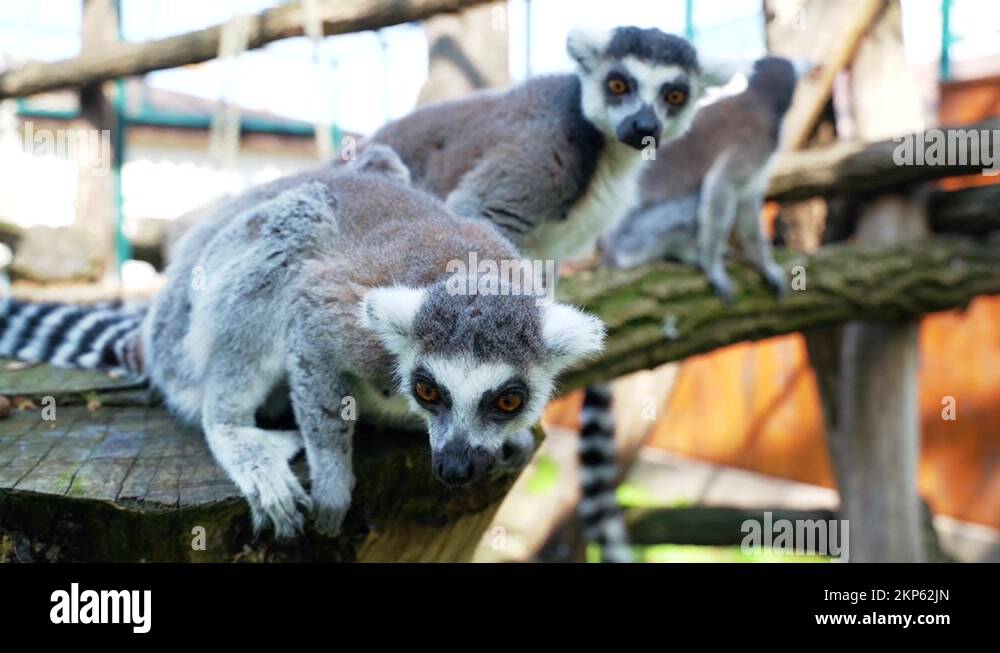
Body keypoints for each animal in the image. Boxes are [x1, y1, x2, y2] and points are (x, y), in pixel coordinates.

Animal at [0, 146, 606, 539]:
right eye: (429, 391)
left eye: (508, 400)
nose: (454, 468)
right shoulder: (342, 325)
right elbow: (314, 351)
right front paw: (335, 483)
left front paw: (511, 438)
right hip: (189, 328)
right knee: (300, 221)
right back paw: (234, 430)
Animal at [366, 26, 701, 265]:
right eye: (617, 85)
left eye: (675, 96)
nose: (643, 126)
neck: (606, 149)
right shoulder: (546, 143)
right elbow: (477, 216)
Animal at [603, 56, 801, 301]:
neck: (759, 98)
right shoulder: (754, 142)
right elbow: (720, 186)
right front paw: (713, 268)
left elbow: (747, 202)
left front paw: (764, 266)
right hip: (635, 238)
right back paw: (686, 253)